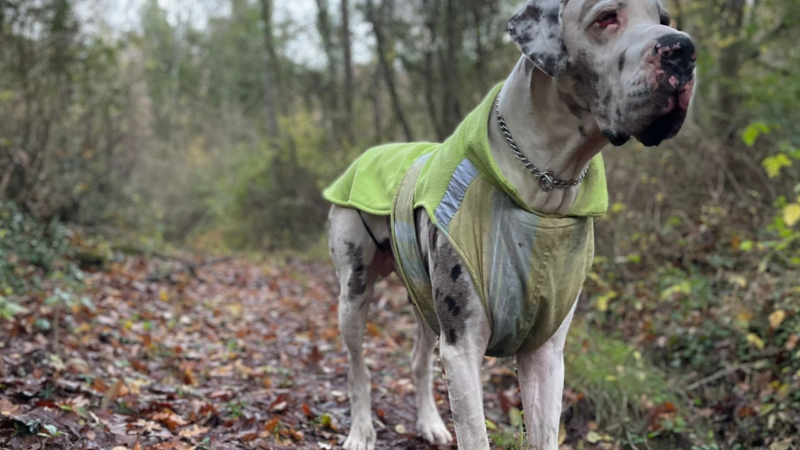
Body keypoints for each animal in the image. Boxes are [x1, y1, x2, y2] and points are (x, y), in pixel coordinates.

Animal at [328, 0, 696, 450]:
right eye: (606, 17)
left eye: (664, 20)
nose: (683, 49)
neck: (543, 194)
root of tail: (371, 152)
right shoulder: (462, 347)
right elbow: (474, 433)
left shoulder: (546, 352)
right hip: (353, 292)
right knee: (356, 365)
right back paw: (361, 429)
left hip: (423, 298)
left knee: (417, 360)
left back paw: (430, 422)